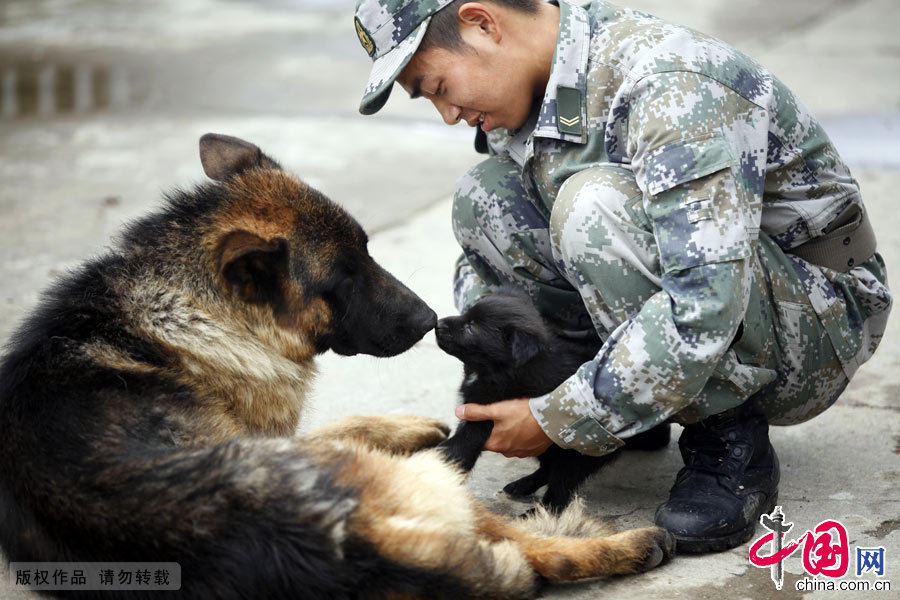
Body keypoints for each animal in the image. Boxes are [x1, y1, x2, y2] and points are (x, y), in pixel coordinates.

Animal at [436, 288, 668, 512]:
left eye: (471, 328)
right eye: (466, 315)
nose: (437, 324)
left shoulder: (487, 415)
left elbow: (464, 442)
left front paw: (441, 462)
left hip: (575, 450)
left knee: (560, 491)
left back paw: (537, 513)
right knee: (549, 470)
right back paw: (523, 485)